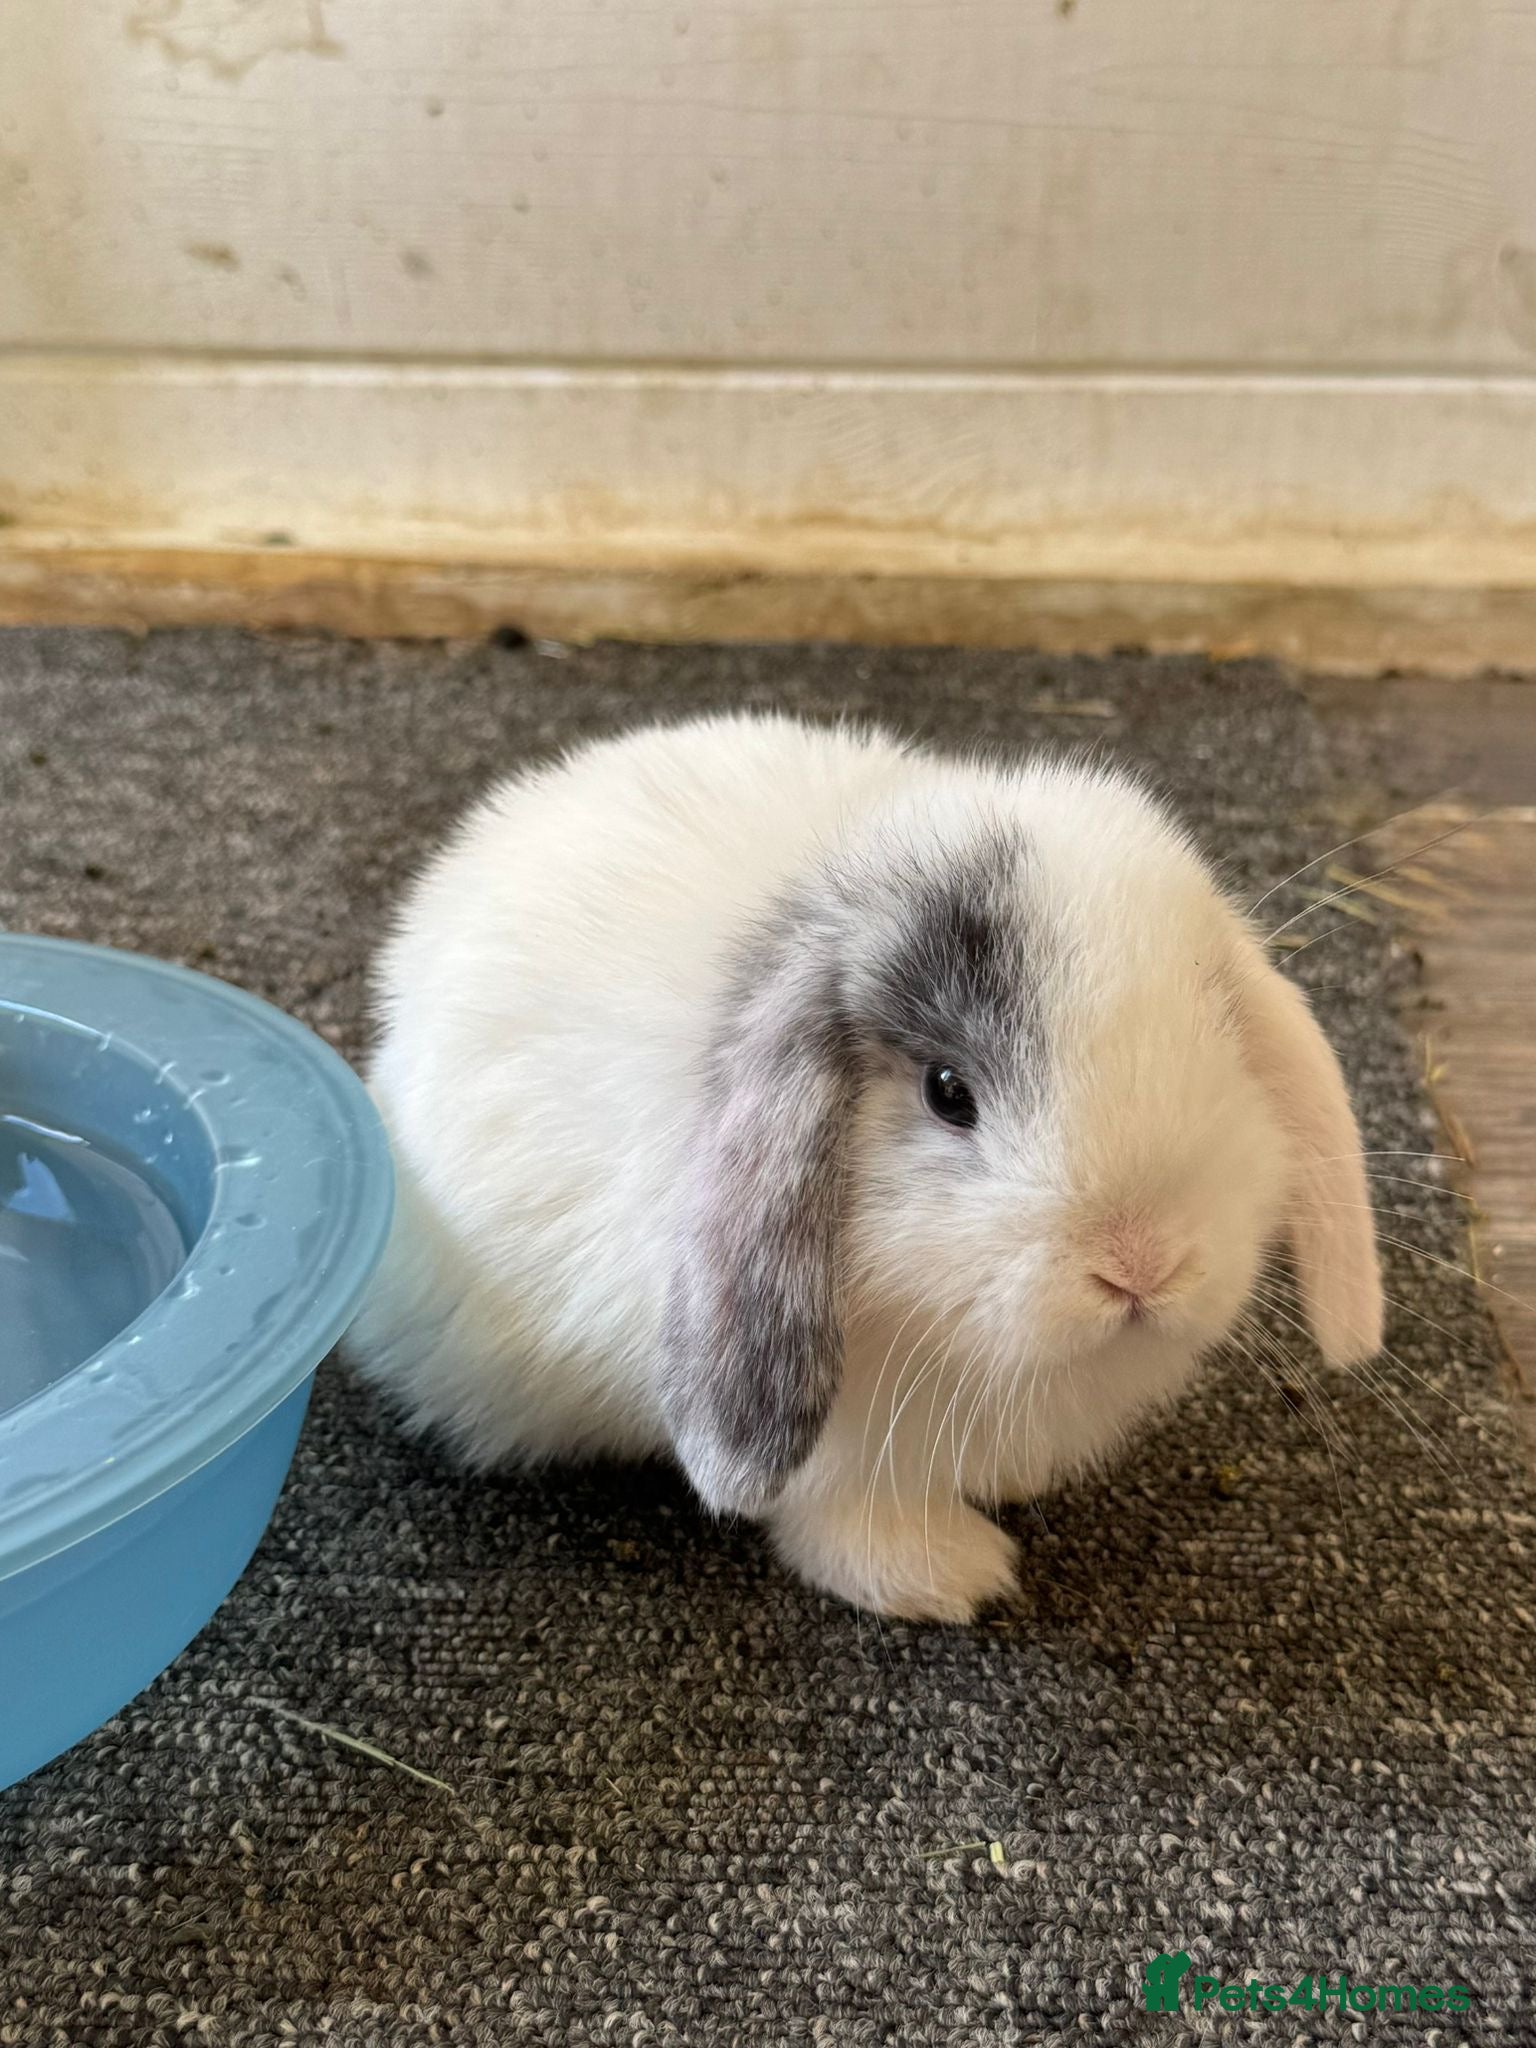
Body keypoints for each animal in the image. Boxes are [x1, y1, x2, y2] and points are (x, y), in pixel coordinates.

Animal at [349, 712, 1383, 1622]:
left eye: (1222, 1040)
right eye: (947, 1092)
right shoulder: (835, 1449)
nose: (1140, 1265)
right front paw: (953, 1579)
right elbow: (838, 1517)